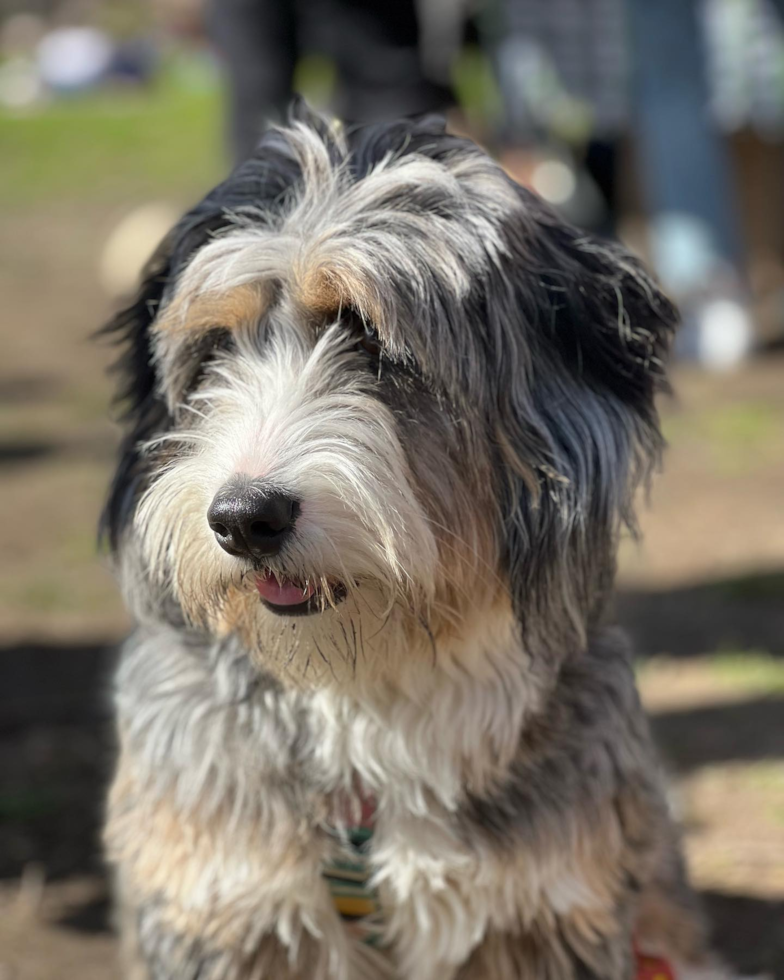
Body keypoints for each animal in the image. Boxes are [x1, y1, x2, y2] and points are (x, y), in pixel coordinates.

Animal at [104, 103, 728, 976]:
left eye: (372, 341)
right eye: (217, 348)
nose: (244, 518)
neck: (366, 693)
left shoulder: (543, 913)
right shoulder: (222, 904)